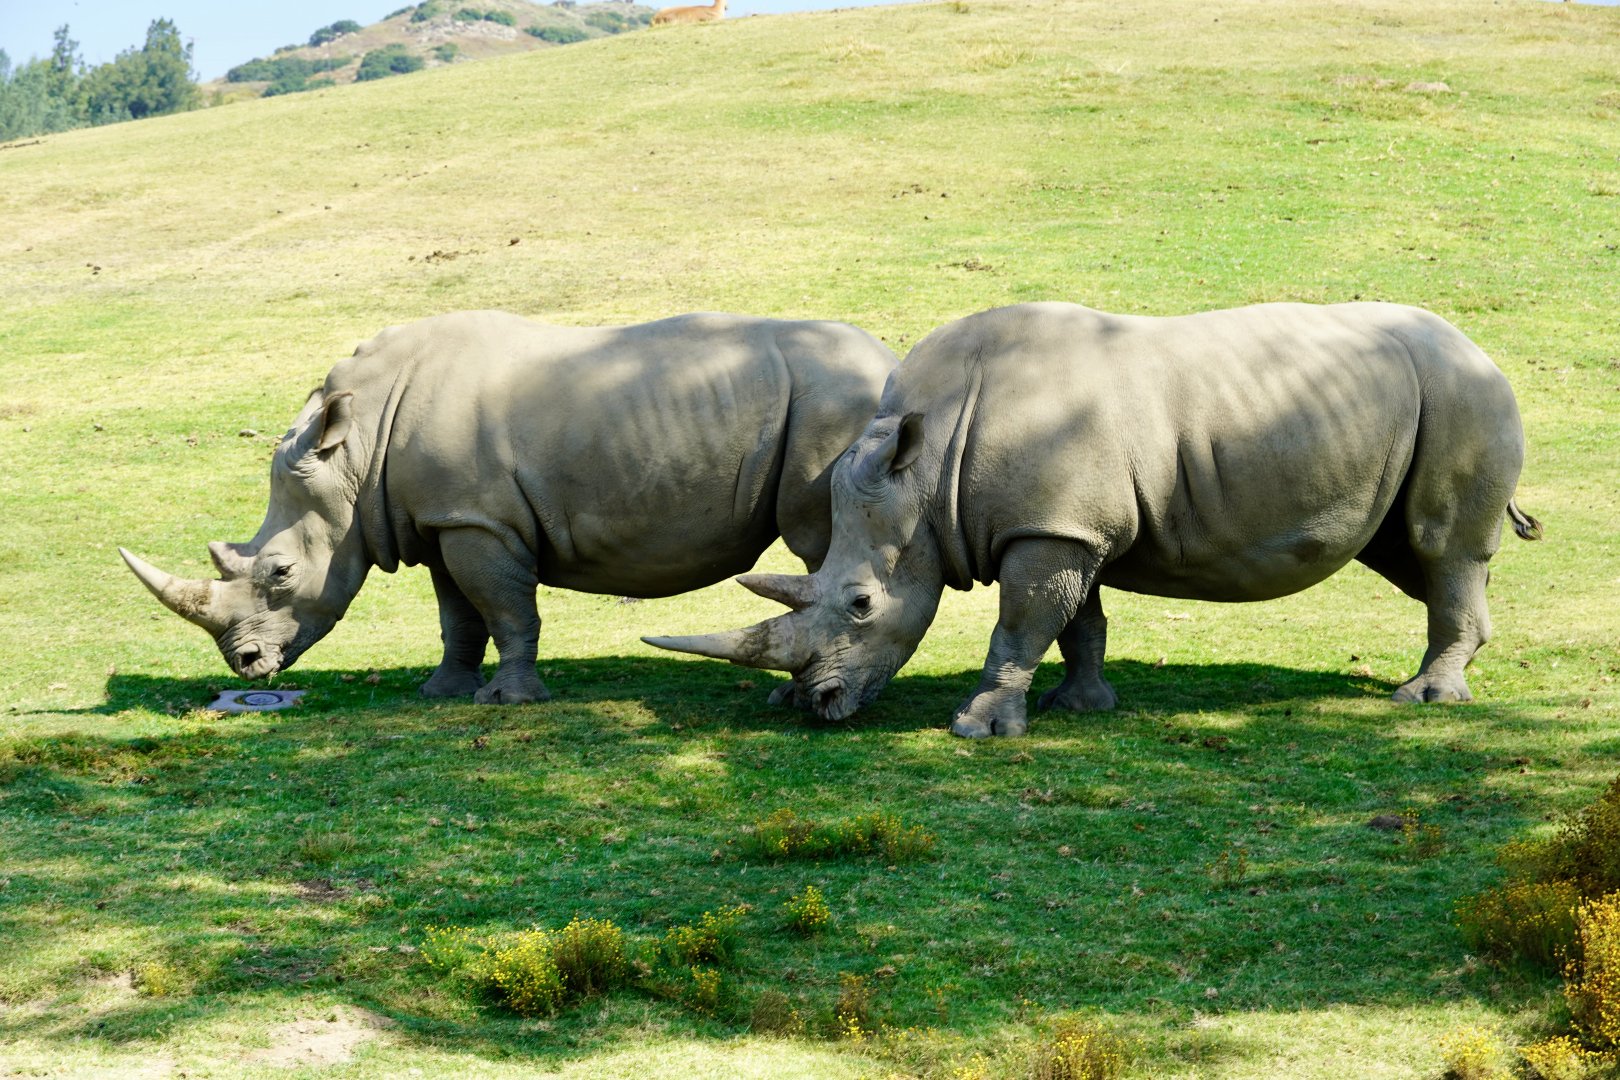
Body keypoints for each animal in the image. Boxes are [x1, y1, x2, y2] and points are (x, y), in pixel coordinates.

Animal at [121, 310, 895, 703]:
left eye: (280, 573)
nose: (246, 665)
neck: (355, 451)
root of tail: (889, 360)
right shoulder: (442, 518)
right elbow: (457, 615)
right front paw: (441, 693)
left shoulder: (480, 520)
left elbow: (506, 610)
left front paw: (512, 701)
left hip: (835, 405)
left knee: (821, 544)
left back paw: (797, 698)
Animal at [647, 301, 1542, 736]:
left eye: (862, 605)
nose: (818, 705)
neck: (924, 472)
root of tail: (1480, 348)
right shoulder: (1068, 523)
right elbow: (1077, 621)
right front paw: (1078, 709)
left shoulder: (1052, 528)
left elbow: (1020, 623)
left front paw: (978, 729)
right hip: (1414, 398)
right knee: (1409, 553)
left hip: (1463, 390)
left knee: (1441, 544)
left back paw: (1425, 701)